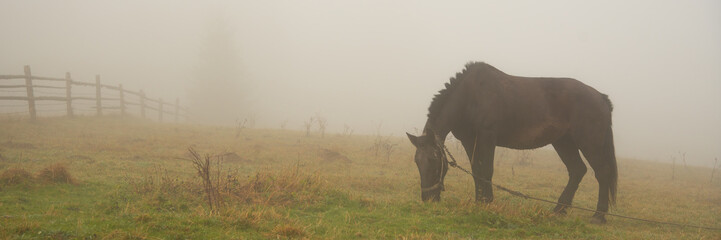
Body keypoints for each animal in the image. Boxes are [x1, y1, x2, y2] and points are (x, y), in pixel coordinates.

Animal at [408, 62, 616, 223]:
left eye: (434, 160)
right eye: (417, 162)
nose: (427, 198)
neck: (470, 95)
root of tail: (600, 97)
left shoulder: (487, 136)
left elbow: (486, 170)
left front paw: (487, 201)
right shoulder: (469, 140)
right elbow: (476, 170)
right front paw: (479, 201)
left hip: (589, 143)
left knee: (602, 172)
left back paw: (598, 216)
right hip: (564, 142)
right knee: (577, 170)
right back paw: (559, 210)